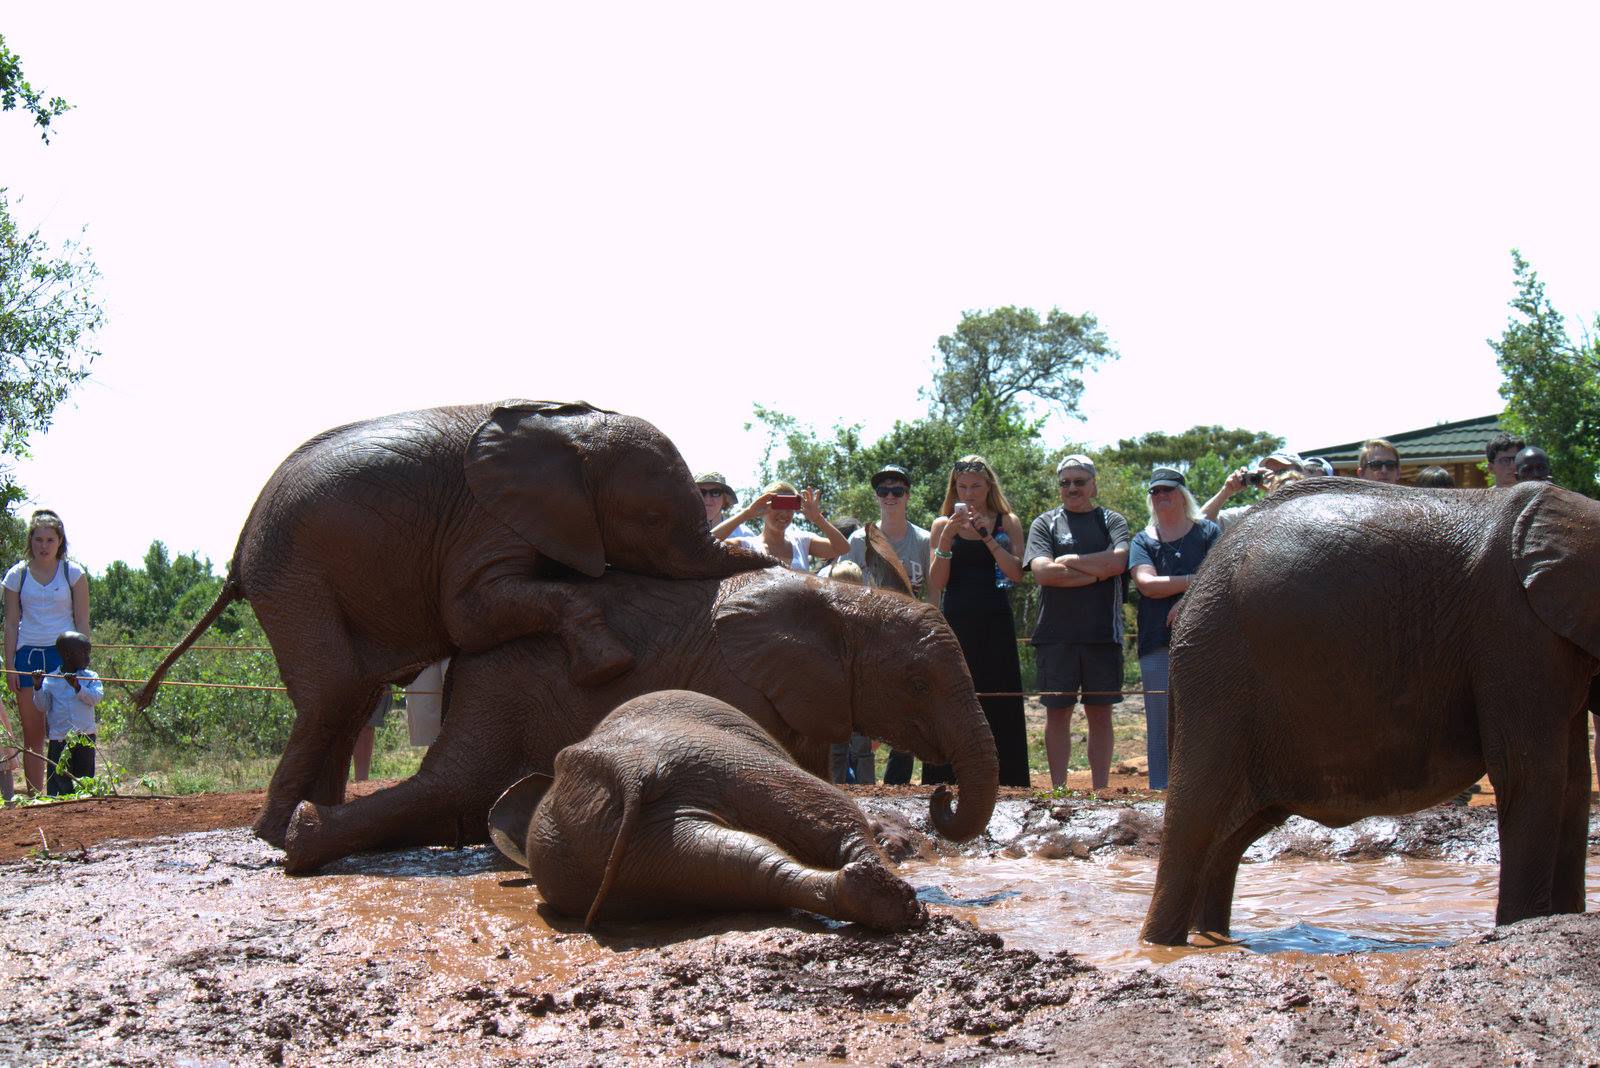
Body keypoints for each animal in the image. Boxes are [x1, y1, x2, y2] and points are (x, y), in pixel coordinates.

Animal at [136, 401, 773, 845]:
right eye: (651, 518)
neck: (568, 434)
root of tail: (238, 550)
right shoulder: (487, 521)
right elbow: (471, 616)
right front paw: (608, 666)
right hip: (292, 574)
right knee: (333, 692)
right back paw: (274, 836)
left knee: (350, 696)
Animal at [280, 566, 999, 873]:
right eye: (916, 683)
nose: (940, 794)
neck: (842, 599)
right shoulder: (736, 680)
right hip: (504, 689)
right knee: (454, 785)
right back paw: (302, 840)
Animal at [487, 689, 926, 931]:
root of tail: (630, 771)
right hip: (727, 758)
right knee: (838, 818)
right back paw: (899, 900)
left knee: (740, 864)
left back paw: (879, 899)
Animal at [1142, 479, 1600, 945]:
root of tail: (1195, 588)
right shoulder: (1512, 628)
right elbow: (1531, 772)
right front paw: (1525, 927)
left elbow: (1574, 781)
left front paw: (1563, 918)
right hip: (1220, 676)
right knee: (1197, 817)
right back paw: (1161, 945)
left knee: (1233, 832)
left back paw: (1214, 939)